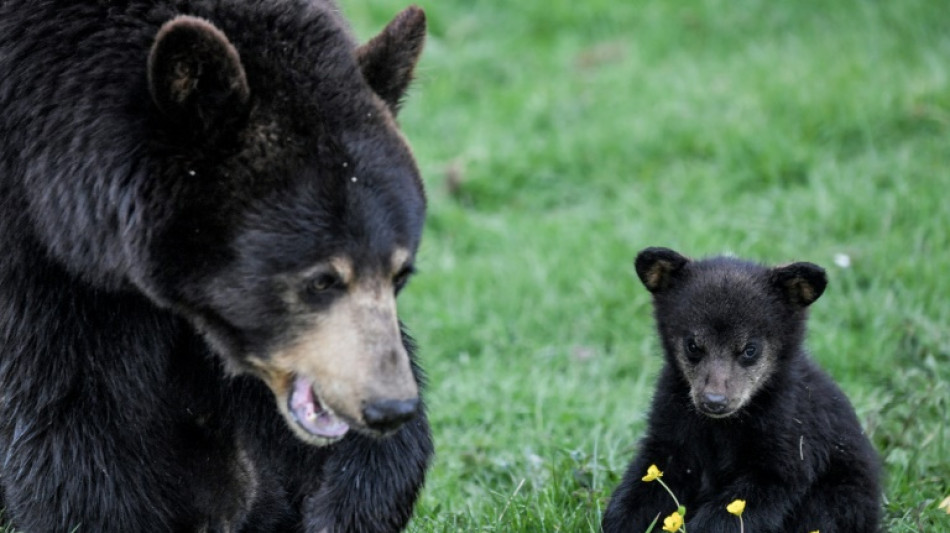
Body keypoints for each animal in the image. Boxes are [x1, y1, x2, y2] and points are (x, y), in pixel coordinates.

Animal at [608, 247, 880, 532]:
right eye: (693, 345)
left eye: (750, 349)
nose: (714, 401)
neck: (723, 425)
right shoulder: (672, 424)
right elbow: (648, 480)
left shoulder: (790, 436)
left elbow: (744, 502)